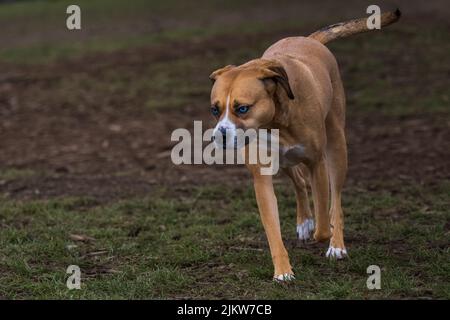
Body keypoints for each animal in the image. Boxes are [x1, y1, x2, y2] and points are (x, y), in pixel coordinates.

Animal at [209, 10, 400, 282]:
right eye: (215, 109)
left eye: (242, 108)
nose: (220, 136)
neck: (277, 120)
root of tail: (310, 39)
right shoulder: (262, 177)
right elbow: (272, 229)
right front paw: (282, 271)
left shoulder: (317, 164)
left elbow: (323, 222)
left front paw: (325, 234)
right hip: (286, 162)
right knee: (299, 181)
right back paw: (304, 222)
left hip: (337, 146)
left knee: (335, 198)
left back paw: (336, 243)